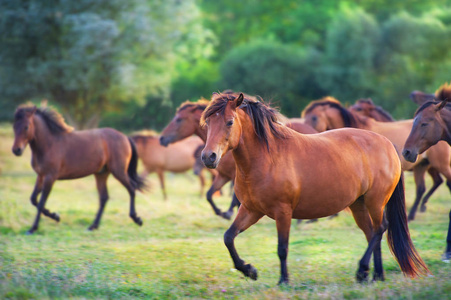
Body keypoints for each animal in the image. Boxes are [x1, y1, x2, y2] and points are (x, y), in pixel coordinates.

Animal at [11, 105, 145, 234]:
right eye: (14, 126)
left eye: (26, 127)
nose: (16, 150)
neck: (49, 144)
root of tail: (125, 137)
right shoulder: (41, 176)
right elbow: (34, 199)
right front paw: (55, 216)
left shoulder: (50, 177)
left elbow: (41, 202)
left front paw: (33, 228)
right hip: (101, 173)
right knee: (104, 197)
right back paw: (93, 226)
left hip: (119, 171)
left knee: (131, 189)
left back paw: (137, 219)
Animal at [202, 92, 430, 284]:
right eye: (207, 123)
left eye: (230, 122)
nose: (208, 157)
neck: (267, 157)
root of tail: (387, 143)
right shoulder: (251, 210)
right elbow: (229, 237)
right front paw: (249, 270)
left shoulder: (282, 212)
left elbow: (282, 248)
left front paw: (283, 280)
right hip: (358, 205)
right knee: (371, 232)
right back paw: (376, 275)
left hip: (375, 201)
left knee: (380, 228)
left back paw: (362, 270)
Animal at [302, 97, 451, 221]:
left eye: (314, 118)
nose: (305, 132)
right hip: (421, 166)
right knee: (423, 188)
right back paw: (412, 214)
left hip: (440, 165)